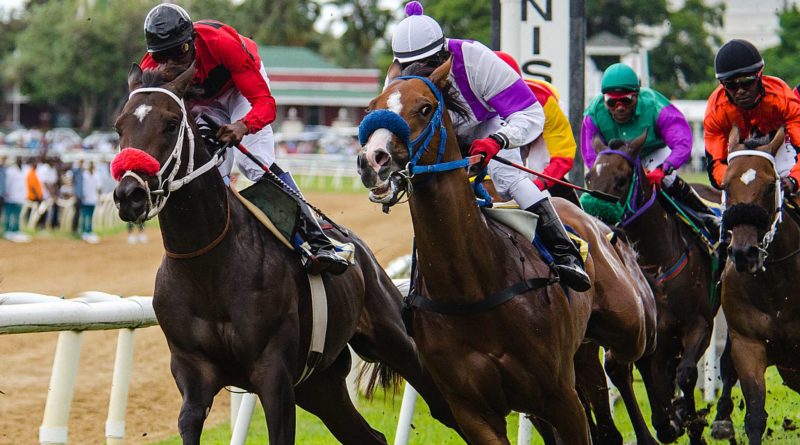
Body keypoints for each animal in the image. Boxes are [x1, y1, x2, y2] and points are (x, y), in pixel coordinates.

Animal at [112, 63, 462, 444]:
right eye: (119, 126)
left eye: (171, 123)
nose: (129, 194)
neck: (207, 266)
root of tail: (361, 251)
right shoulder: (192, 372)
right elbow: (189, 420)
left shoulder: (274, 373)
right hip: (319, 385)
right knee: (369, 436)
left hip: (393, 339)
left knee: (445, 406)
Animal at [356, 59, 656, 444]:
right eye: (371, 109)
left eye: (425, 108)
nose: (372, 160)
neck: (472, 287)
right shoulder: (473, 412)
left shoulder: (560, 397)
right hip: (577, 357)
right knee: (601, 400)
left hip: (630, 324)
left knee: (621, 365)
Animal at [580, 132, 732, 444]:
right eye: (589, 178)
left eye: (621, 180)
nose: (592, 220)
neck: (656, 265)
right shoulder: (650, 333)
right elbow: (646, 373)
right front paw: (668, 421)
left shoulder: (699, 323)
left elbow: (685, 373)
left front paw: (688, 422)